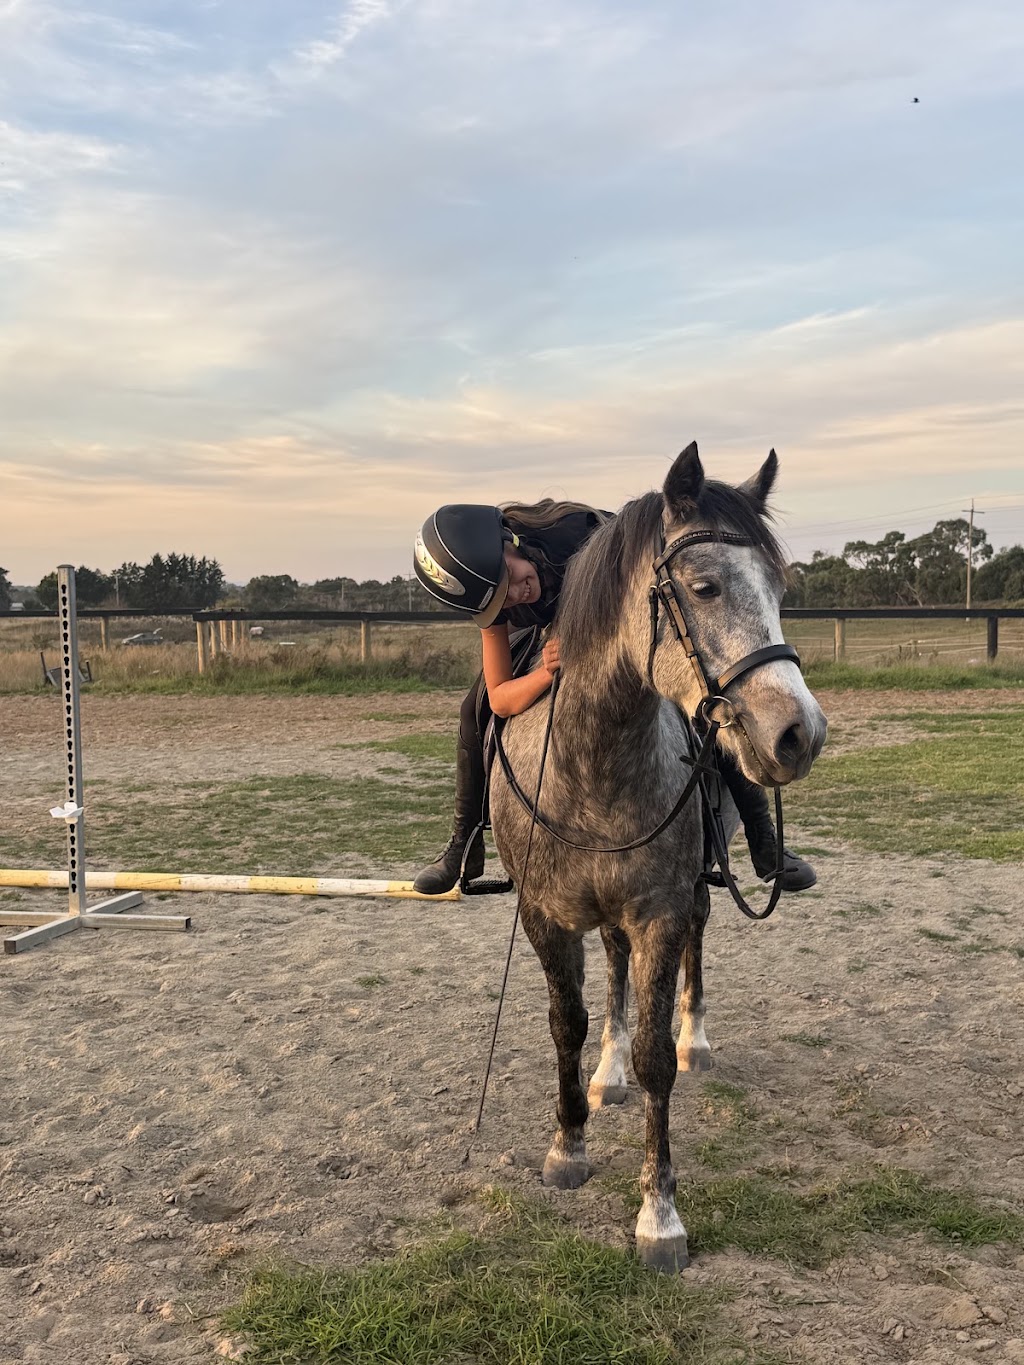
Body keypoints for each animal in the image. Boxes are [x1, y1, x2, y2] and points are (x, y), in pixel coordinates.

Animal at [489, 442, 827, 1272]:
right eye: (704, 586)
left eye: (779, 587)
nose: (800, 733)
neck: (590, 765)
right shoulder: (546, 917)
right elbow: (567, 1025)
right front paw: (569, 1144)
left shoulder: (662, 910)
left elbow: (655, 1059)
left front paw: (659, 1216)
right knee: (610, 971)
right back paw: (605, 1075)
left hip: (693, 887)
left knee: (697, 944)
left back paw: (693, 1037)